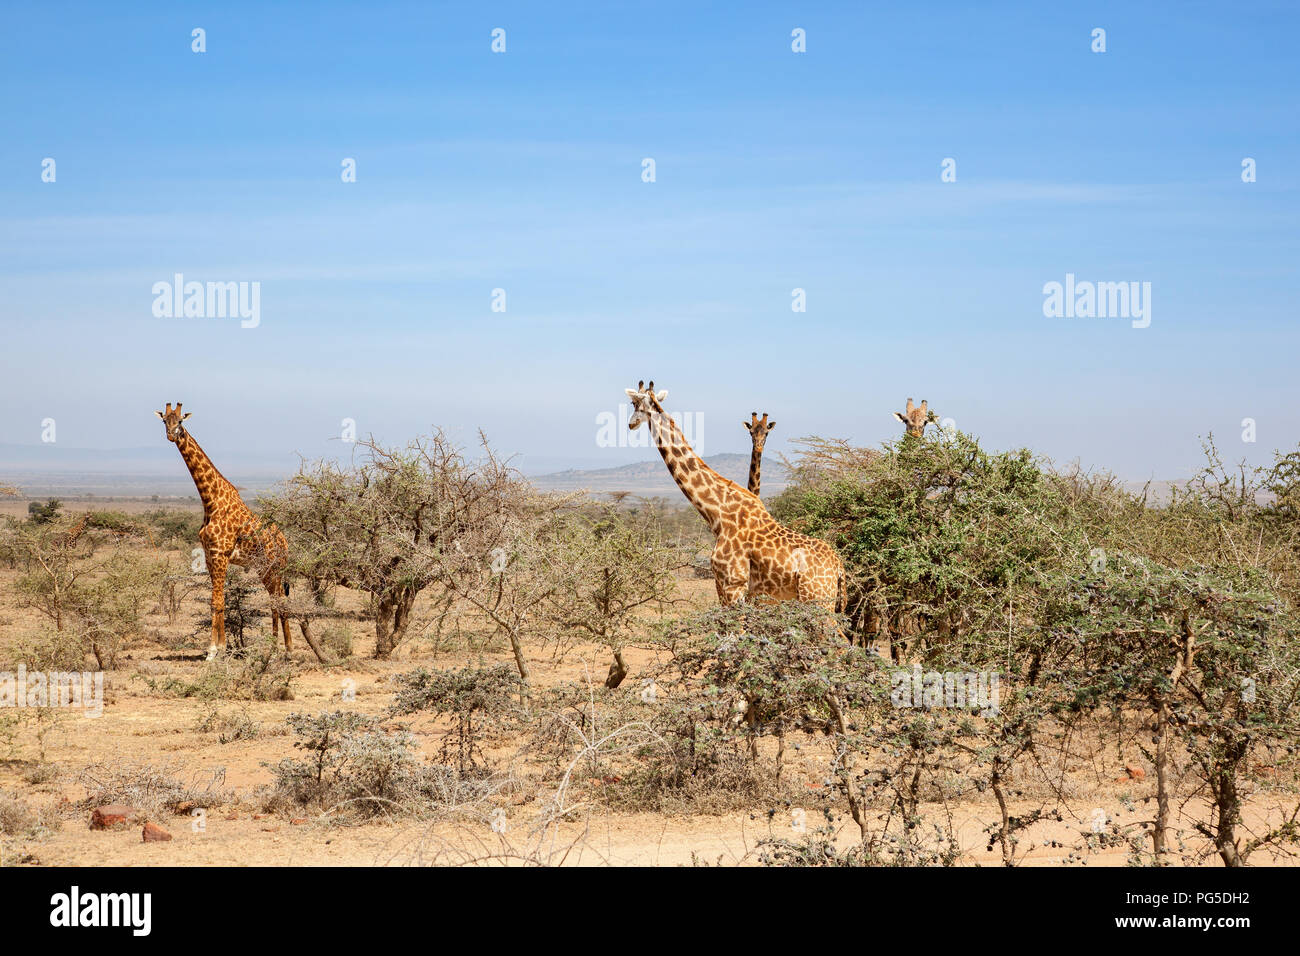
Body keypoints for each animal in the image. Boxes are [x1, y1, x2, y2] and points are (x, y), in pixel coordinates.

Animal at [154, 403, 292, 658]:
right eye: (164, 421)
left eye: (181, 421)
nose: (171, 435)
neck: (210, 501)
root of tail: (284, 541)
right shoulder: (210, 555)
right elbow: (220, 601)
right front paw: (222, 647)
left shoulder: (220, 554)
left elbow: (216, 602)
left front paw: (212, 651)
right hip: (264, 568)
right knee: (274, 600)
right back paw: (274, 647)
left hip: (275, 567)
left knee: (280, 600)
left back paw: (287, 650)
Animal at [626, 382, 847, 613]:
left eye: (635, 403)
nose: (631, 424)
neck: (718, 512)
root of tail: (839, 568)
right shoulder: (728, 587)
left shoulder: (732, 584)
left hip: (816, 599)